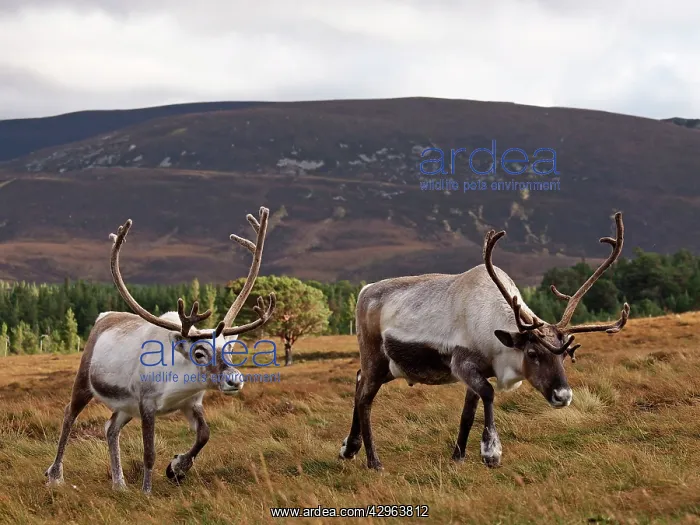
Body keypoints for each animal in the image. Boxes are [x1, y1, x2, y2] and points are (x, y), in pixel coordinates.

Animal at [45, 207, 276, 494]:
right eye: (199, 353)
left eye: (229, 350)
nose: (235, 380)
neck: (178, 379)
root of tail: (103, 316)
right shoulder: (146, 403)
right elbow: (149, 452)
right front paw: (147, 491)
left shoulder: (191, 402)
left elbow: (204, 434)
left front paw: (176, 467)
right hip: (84, 381)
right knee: (69, 414)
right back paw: (55, 475)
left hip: (125, 405)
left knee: (110, 427)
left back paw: (119, 483)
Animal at [339, 212, 630, 470]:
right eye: (532, 353)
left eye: (564, 355)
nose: (563, 396)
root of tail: (364, 291)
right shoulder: (462, 364)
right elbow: (488, 394)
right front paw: (491, 452)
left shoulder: (479, 372)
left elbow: (468, 413)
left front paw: (458, 456)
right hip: (374, 356)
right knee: (365, 398)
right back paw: (373, 461)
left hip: (393, 366)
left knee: (358, 379)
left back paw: (349, 448)